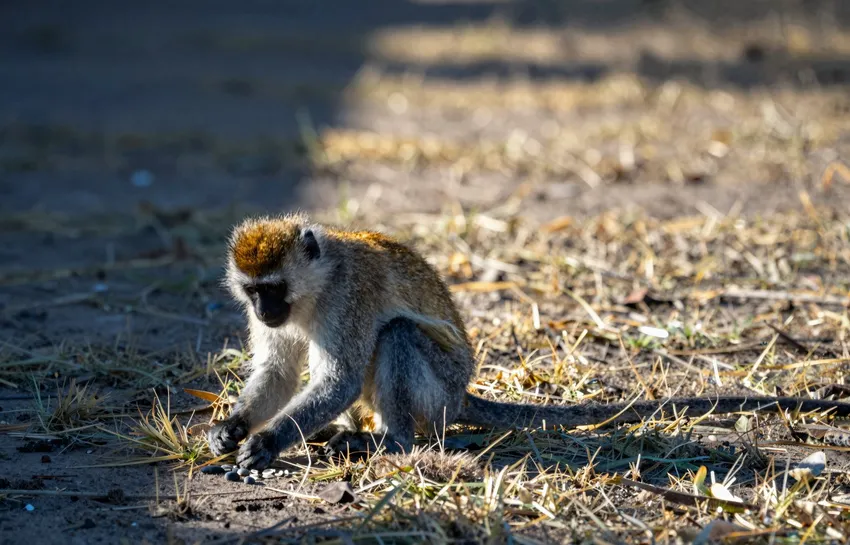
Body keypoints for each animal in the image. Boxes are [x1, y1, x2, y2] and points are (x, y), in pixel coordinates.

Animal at [207, 212, 850, 470]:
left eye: (274, 288)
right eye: (253, 290)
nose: (263, 311)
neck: (314, 288)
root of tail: (462, 396)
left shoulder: (350, 296)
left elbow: (338, 377)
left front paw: (266, 443)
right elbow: (279, 373)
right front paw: (233, 427)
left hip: (440, 395)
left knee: (396, 335)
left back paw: (392, 442)